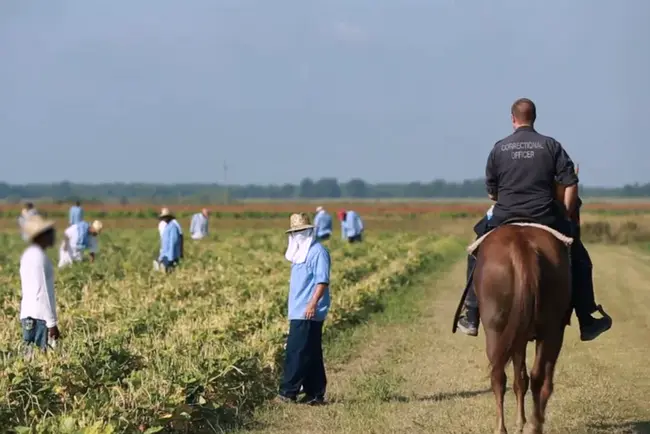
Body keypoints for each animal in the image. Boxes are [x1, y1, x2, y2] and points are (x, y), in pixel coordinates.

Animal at [470, 222, 572, 432]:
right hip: (550, 332)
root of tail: (521, 245)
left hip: (496, 331)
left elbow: (519, 378)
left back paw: (503, 428)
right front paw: (523, 421)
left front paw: (520, 421)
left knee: (499, 376)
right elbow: (523, 378)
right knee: (538, 378)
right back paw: (533, 426)